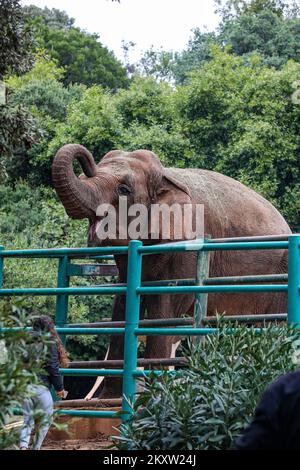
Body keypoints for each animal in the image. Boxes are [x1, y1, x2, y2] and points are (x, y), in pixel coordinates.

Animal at [51, 145, 290, 398]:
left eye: (124, 189)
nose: (86, 163)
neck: (166, 177)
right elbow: (122, 302)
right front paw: (110, 398)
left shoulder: (189, 244)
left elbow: (166, 305)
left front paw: (153, 398)